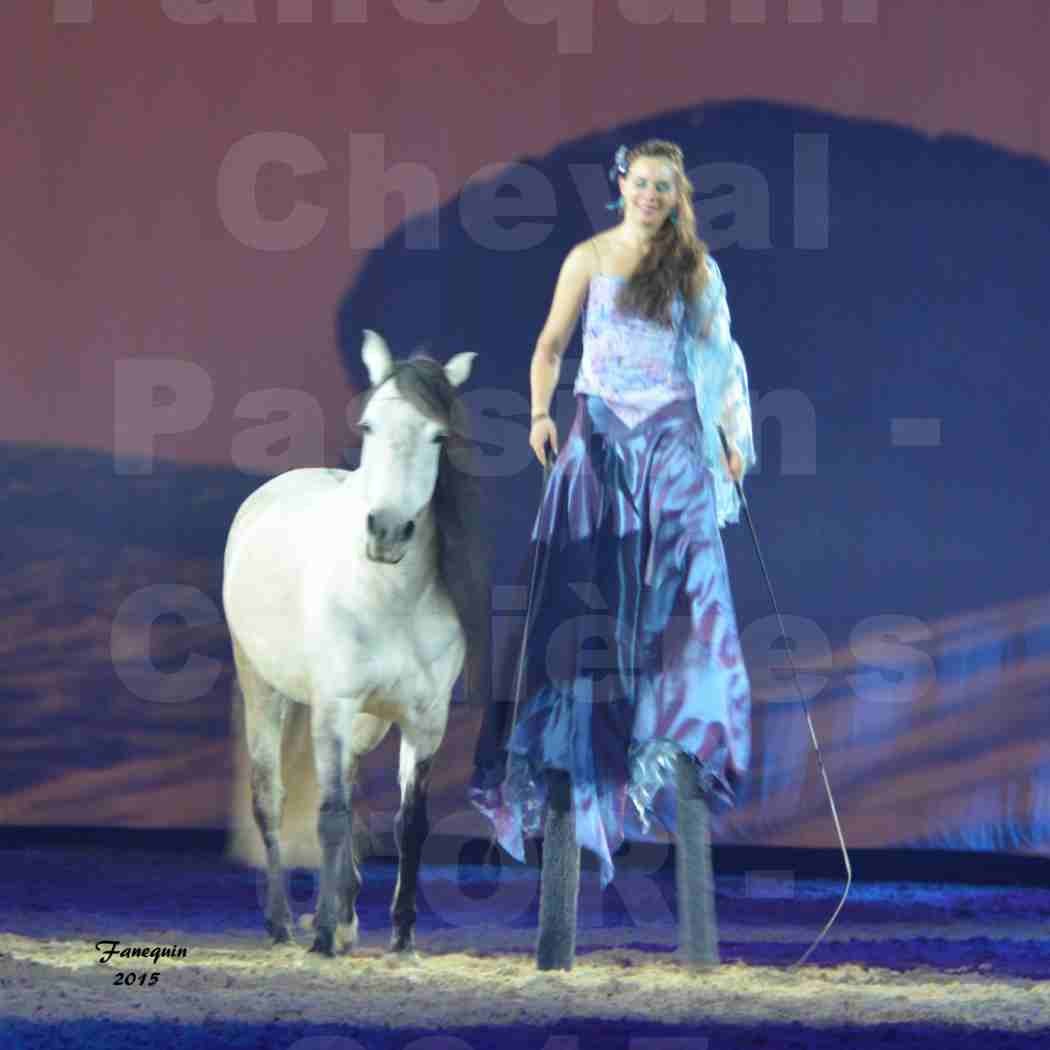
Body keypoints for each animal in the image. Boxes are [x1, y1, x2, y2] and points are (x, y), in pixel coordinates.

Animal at [223, 331, 489, 957]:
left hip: (365, 724)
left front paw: (401, 933)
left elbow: (407, 823)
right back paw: (282, 923)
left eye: (438, 435)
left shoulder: (424, 720)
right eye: (369, 425)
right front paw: (321, 933)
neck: (388, 596)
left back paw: (345, 917)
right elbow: (330, 815)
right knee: (272, 800)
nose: (387, 531)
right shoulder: (334, 707)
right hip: (263, 690)